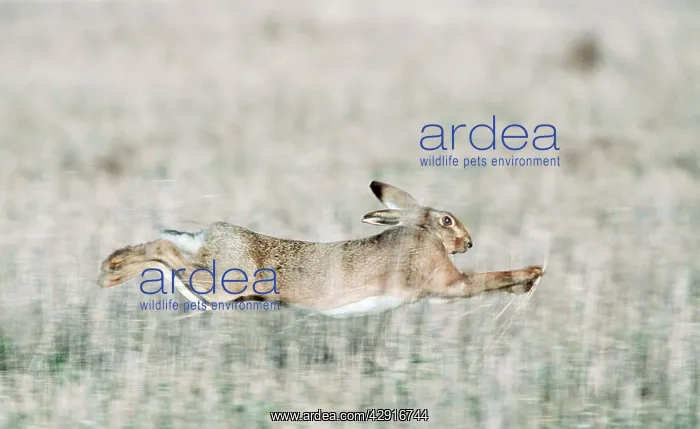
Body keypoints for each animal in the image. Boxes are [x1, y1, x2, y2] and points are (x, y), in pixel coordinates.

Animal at [98, 181, 544, 317]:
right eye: (447, 221)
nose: (468, 242)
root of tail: (212, 233)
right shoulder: (447, 283)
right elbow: (485, 279)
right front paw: (534, 274)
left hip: (214, 289)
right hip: (223, 282)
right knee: (163, 247)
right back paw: (109, 272)